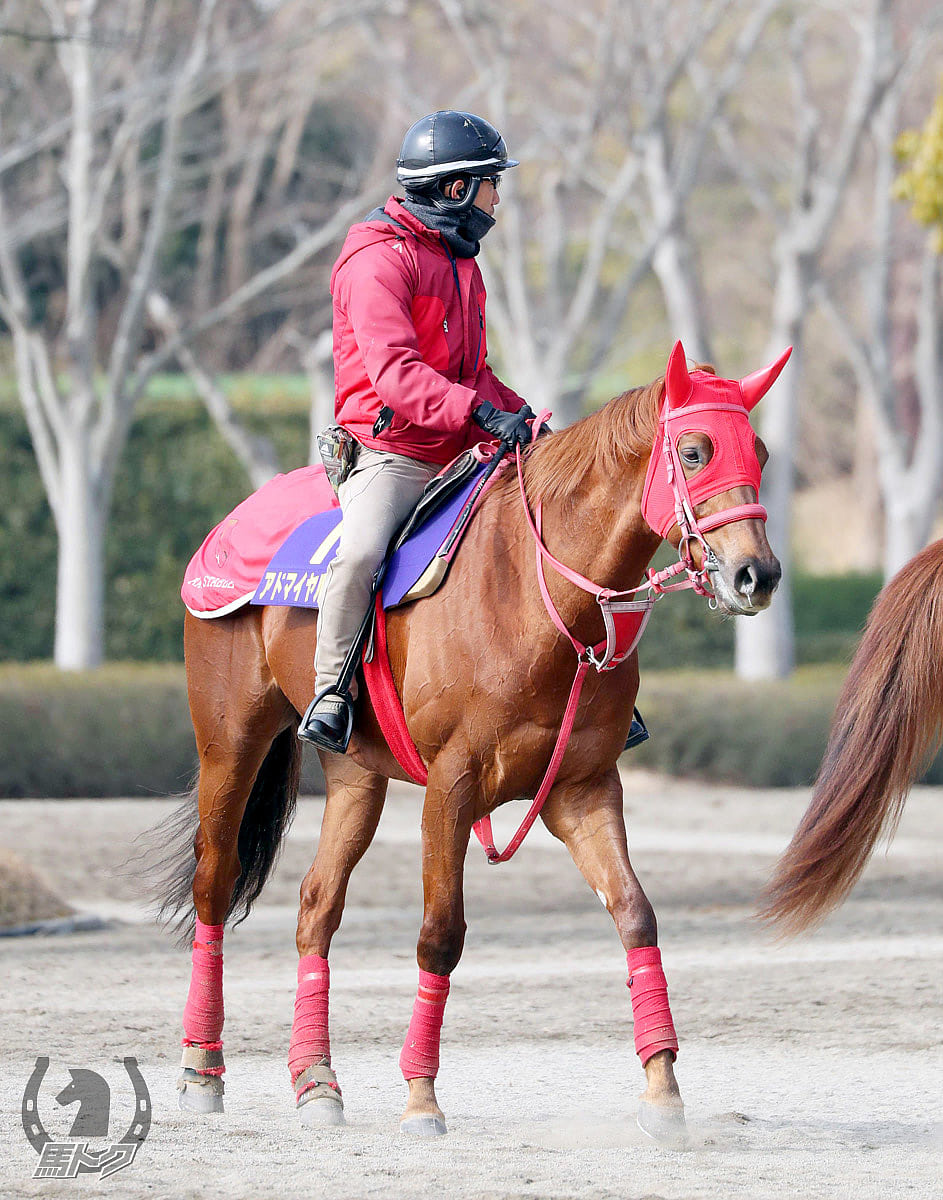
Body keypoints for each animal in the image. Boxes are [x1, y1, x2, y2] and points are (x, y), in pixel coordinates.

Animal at [159, 345, 787, 1142]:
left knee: (316, 904)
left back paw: (316, 1081)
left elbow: (634, 914)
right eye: (695, 450)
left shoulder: (583, 790)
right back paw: (200, 1066)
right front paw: (421, 1097)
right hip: (230, 745)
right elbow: (440, 933)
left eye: (759, 452)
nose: (756, 574)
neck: (535, 596)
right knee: (214, 881)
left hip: (355, 775)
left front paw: (662, 1089)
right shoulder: (451, 788)